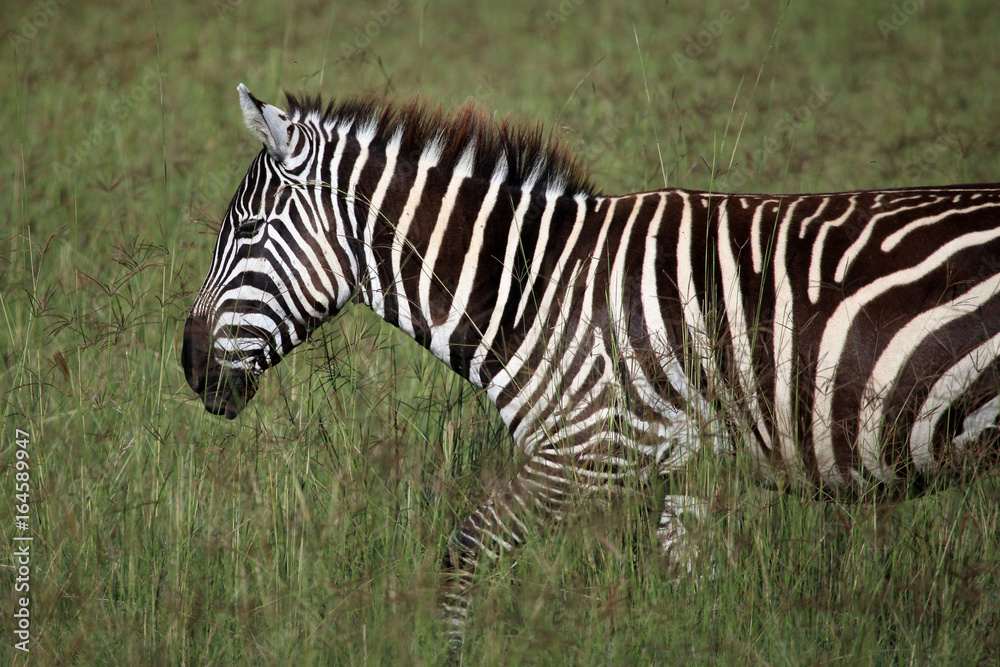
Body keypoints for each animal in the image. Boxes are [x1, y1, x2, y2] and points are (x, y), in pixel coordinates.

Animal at [182, 83, 1000, 648]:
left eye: (246, 232)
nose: (189, 367)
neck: (541, 289)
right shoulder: (689, 471)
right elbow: (692, 598)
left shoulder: (588, 452)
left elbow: (463, 553)